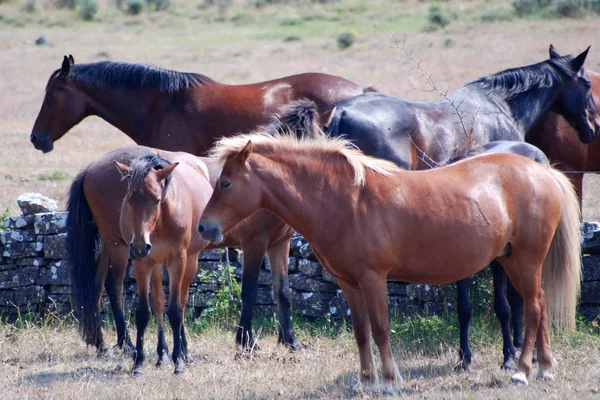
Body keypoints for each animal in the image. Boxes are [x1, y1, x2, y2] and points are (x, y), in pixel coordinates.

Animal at [67, 145, 296, 358]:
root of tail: (90, 167)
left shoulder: (279, 244)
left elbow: (283, 291)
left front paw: (290, 340)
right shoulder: (254, 244)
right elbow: (249, 292)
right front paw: (247, 342)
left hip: (113, 244)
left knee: (97, 284)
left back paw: (101, 344)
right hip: (119, 246)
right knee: (114, 287)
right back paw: (128, 345)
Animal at [199, 134, 584, 394]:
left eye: (225, 182)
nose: (204, 227)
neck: (346, 200)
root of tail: (542, 172)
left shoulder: (373, 279)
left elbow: (381, 328)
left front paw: (388, 380)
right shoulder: (349, 283)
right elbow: (360, 331)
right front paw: (364, 380)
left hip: (526, 260)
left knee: (532, 308)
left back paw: (521, 370)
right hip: (513, 262)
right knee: (540, 304)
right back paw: (545, 367)